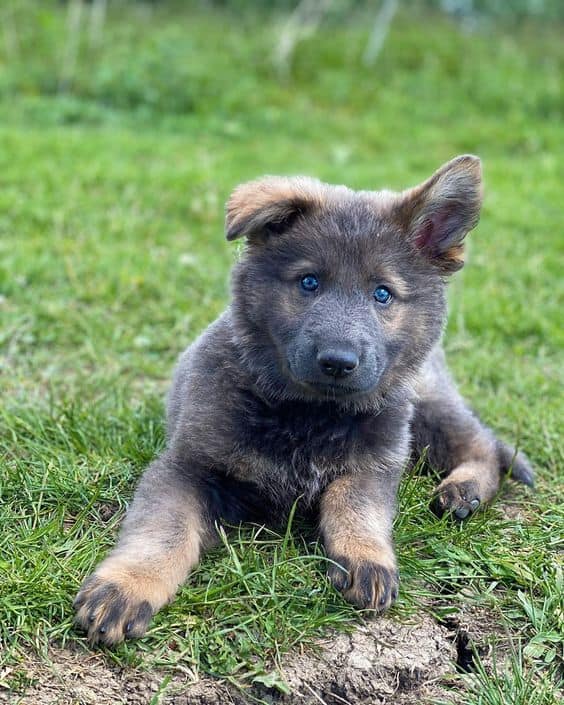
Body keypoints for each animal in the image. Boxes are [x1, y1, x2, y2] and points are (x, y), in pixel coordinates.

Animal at [74, 154, 532, 644]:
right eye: (309, 282)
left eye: (383, 293)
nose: (338, 361)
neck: (310, 415)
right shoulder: (186, 467)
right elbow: (164, 530)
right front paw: (126, 586)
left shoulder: (375, 464)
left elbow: (353, 504)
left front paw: (366, 556)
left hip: (424, 403)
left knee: (482, 445)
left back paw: (462, 489)